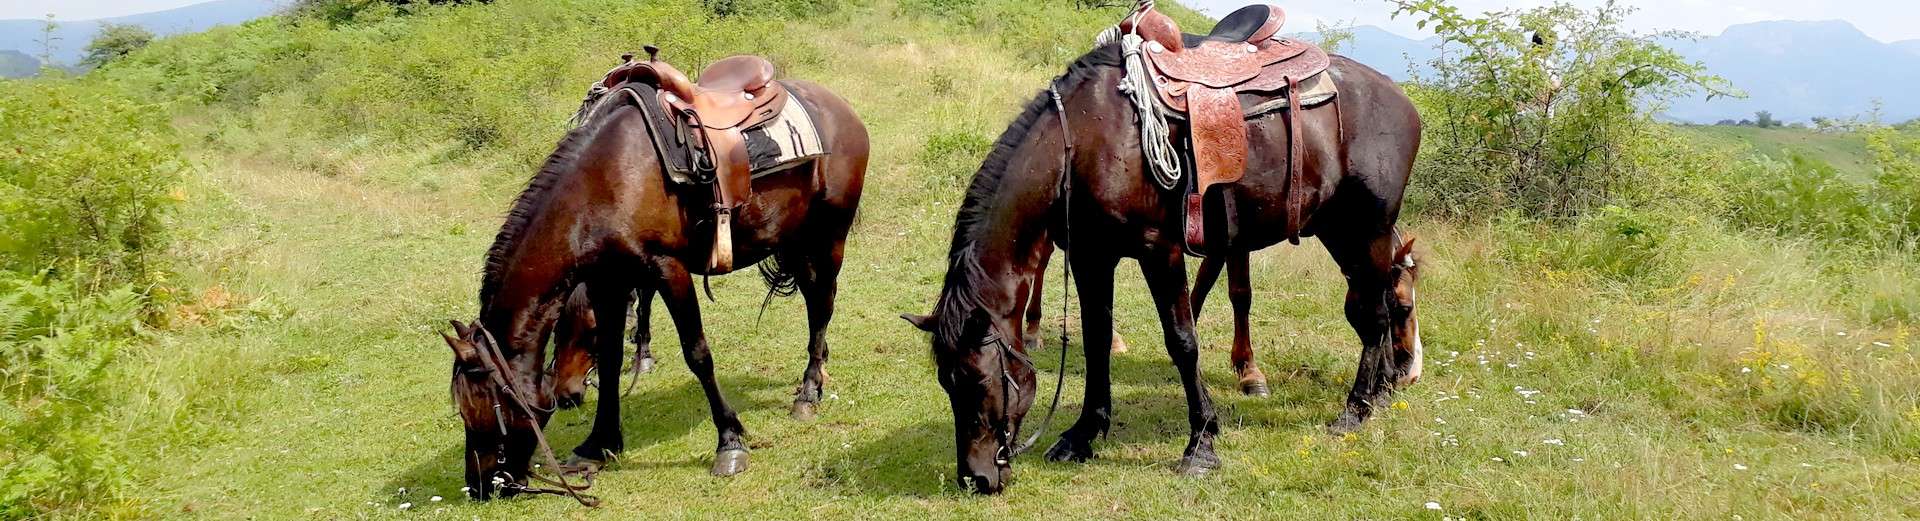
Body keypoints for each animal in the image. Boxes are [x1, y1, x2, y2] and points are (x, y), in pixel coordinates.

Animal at [439, 56, 867, 499]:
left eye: (486, 411)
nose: (481, 485)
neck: (606, 178)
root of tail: (840, 107)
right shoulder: (608, 281)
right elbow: (611, 358)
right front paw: (599, 443)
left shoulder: (667, 268)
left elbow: (697, 353)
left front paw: (730, 442)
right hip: (793, 239)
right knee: (814, 300)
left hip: (830, 236)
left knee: (823, 303)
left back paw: (809, 392)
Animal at [894, 19, 1413, 496]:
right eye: (946, 383)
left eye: (979, 382)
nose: (975, 478)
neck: (1082, 142)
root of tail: (1401, 99)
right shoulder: (1091, 255)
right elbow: (1097, 339)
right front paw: (1083, 435)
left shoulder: (1157, 250)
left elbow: (1182, 341)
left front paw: (1201, 443)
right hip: (1339, 231)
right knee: (1379, 305)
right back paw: (1383, 391)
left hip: (1367, 230)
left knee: (1373, 313)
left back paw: (1356, 409)